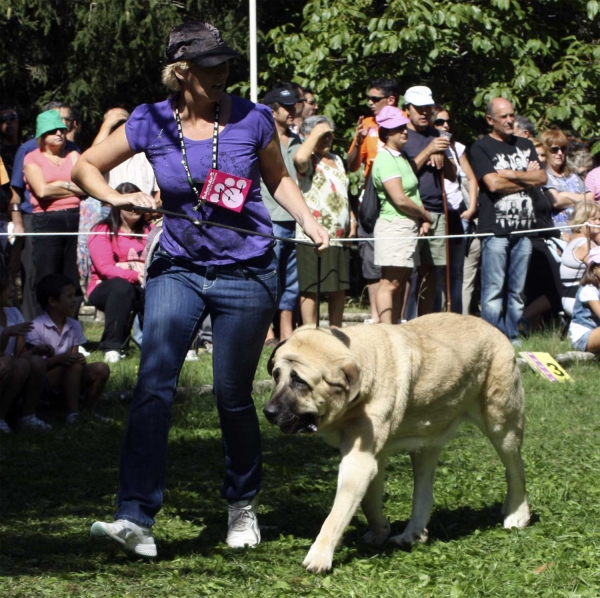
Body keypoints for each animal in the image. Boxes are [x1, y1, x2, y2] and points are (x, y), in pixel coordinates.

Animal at [262, 312, 528, 576]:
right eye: (276, 375)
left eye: (300, 382)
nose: (268, 412)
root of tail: (492, 327)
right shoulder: (371, 458)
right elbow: (368, 500)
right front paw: (380, 530)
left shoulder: (359, 461)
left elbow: (337, 514)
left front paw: (319, 556)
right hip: (426, 441)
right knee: (424, 493)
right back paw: (412, 535)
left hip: (501, 426)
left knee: (516, 471)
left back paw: (517, 514)